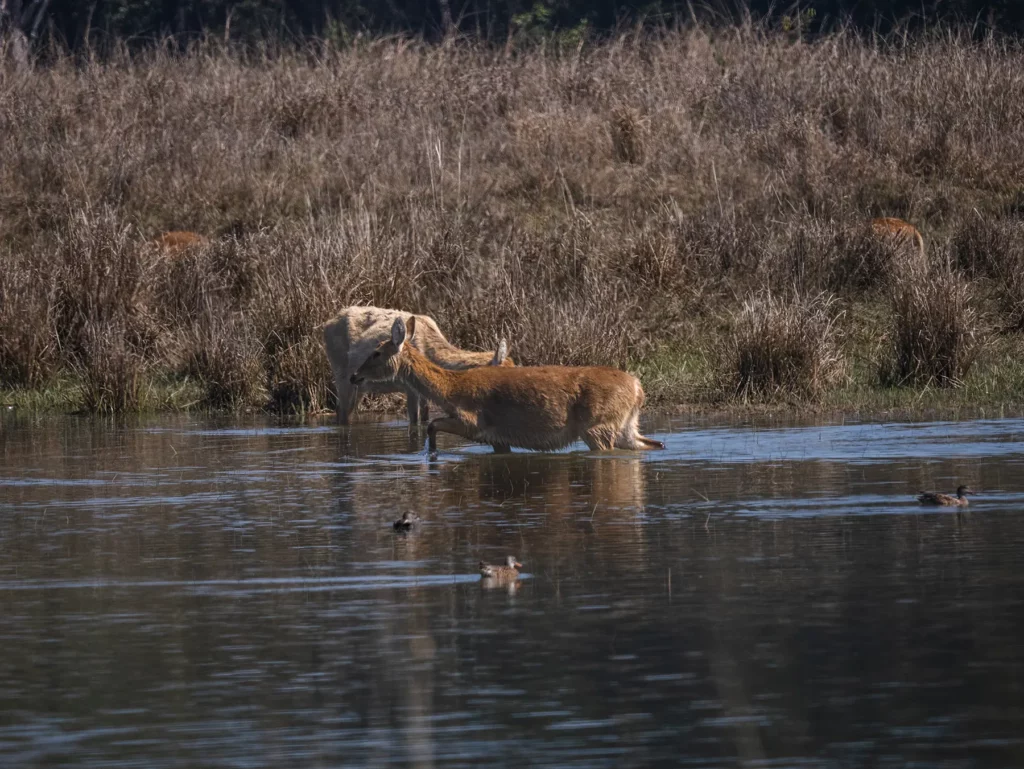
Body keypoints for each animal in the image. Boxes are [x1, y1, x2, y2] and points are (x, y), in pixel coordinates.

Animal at [323, 306, 513, 426]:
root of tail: (326, 325)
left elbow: (425, 419)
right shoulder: (410, 388)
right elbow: (414, 422)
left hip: (360, 385)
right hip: (341, 374)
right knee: (342, 413)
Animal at [350, 316, 664, 454]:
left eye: (376, 353)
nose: (354, 376)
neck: (450, 390)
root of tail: (638, 388)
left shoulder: (474, 422)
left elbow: (432, 425)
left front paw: (432, 455)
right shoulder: (498, 439)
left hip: (598, 426)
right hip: (624, 426)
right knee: (652, 443)